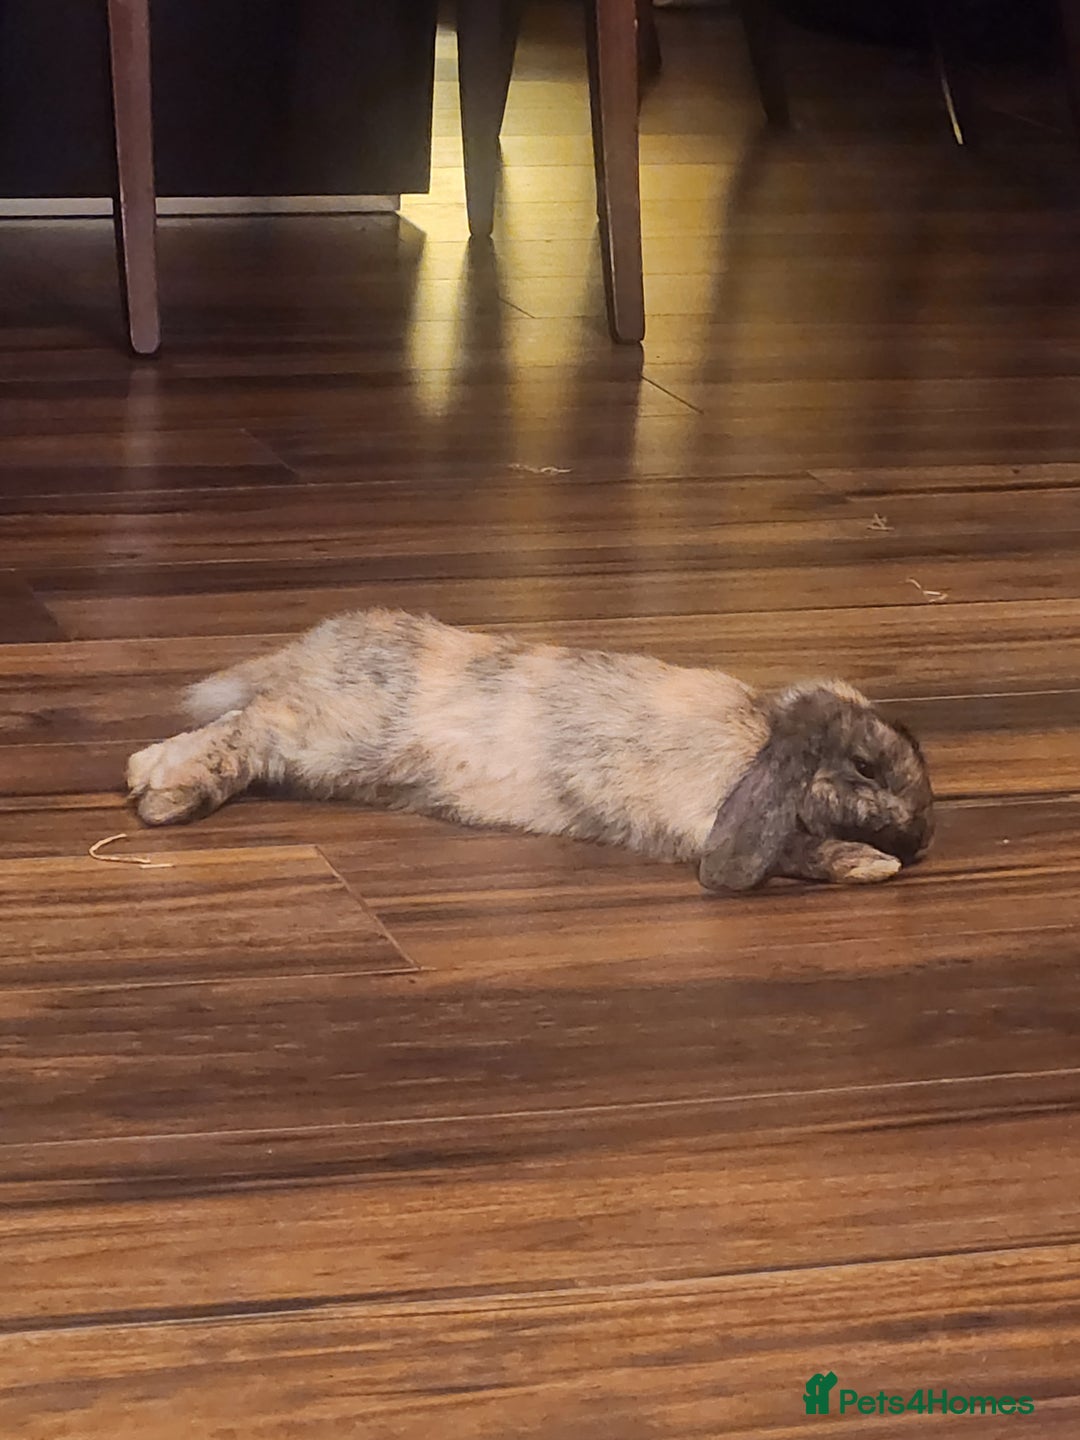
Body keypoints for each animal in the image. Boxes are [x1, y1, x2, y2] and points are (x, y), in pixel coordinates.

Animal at [126, 607, 934, 893]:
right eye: (866, 768)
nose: (924, 841)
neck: (759, 738)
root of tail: (312, 647)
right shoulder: (715, 822)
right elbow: (799, 848)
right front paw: (869, 865)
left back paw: (149, 779)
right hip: (331, 732)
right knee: (244, 730)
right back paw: (161, 795)